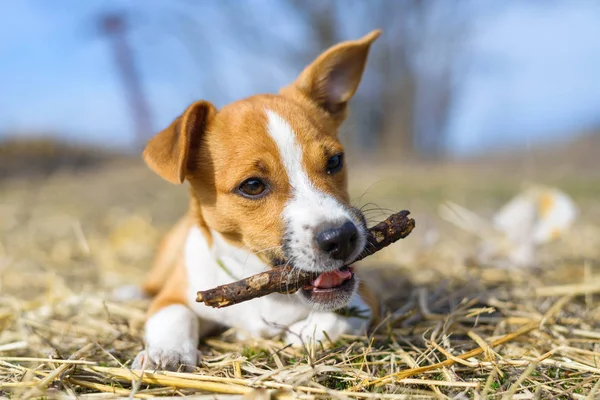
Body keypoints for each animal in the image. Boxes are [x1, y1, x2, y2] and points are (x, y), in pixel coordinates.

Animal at [130, 29, 384, 370]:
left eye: (334, 161)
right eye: (252, 186)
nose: (341, 238)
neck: (260, 281)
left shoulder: (367, 295)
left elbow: (341, 316)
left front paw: (304, 331)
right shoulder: (173, 296)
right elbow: (173, 315)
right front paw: (165, 355)